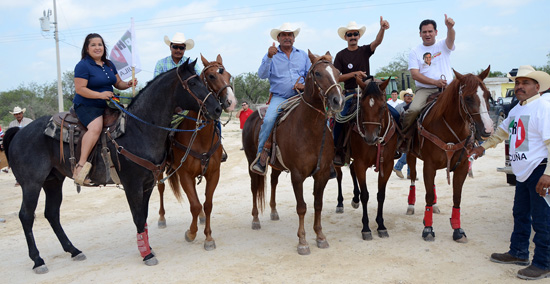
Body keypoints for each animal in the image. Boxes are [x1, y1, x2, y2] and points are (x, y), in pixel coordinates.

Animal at [2, 59, 222, 272]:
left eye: (203, 80)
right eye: (193, 83)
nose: (218, 108)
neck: (139, 129)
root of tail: (19, 133)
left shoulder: (147, 184)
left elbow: (143, 216)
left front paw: (147, 248)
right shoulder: (132, 185)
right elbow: (137, 217)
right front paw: (146, 255)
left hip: (53, 181)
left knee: (52, 214)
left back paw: (73, 250)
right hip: (32, 184)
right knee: (26, 216)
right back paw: (38, 260)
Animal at [157, 54, 239, 250]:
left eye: (229, 75)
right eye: (211, 76)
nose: (231, 102)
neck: (200, 137)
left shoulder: (213, 173)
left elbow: (207, 204)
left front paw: (208, 237)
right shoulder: (184, 175)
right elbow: (193, 205)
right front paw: (191, 233)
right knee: (161, 188)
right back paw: (161, 218)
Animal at [243, 51, 342, 255]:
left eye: (337, 72)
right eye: (318, 73)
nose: (338, 100)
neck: (309, 129)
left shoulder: (321, 174)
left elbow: (318, 205)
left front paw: (320, 236)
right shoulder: (297, 175)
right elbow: (302, 207)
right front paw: (302, 242)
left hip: (276, 165)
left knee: (273, 182)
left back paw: (273, 212)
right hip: (250, 163)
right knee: (254, 187)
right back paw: (255, 219)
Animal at [334, 77, 398, 240]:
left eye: (382, 106)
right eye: (361, 107)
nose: (370, 138)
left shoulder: (387, 165)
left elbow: (381, 195)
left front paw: (381, 225)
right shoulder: (361, 163)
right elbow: (365, 195)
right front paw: (366, 228)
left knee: (351, 170)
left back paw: (354, 199)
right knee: (339, 176)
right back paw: (340, 203)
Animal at [406, 66, 496, 242]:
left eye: (488, 95)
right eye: (468, 98)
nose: (488, 129)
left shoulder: (462, 166)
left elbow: (457, 197)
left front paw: (457, 229)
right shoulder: (429, 165)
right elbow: (427, 195)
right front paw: (428, 228)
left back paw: (435, 206)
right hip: (411, 156)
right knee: (412, 178)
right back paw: (411, 205)